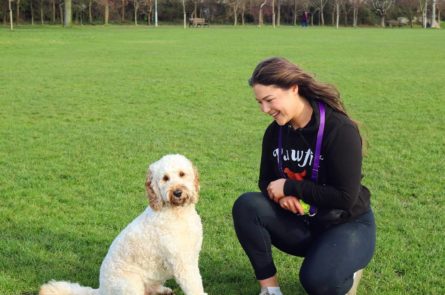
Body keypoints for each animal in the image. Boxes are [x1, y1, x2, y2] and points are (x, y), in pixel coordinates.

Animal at [40, 155, 207, 295]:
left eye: (182, 174)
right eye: (165, 178)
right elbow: (194, 286)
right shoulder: (182, 262)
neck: (178, 213)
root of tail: (101, 289)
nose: (177, 192)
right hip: (130, 283)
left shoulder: (192, 256)